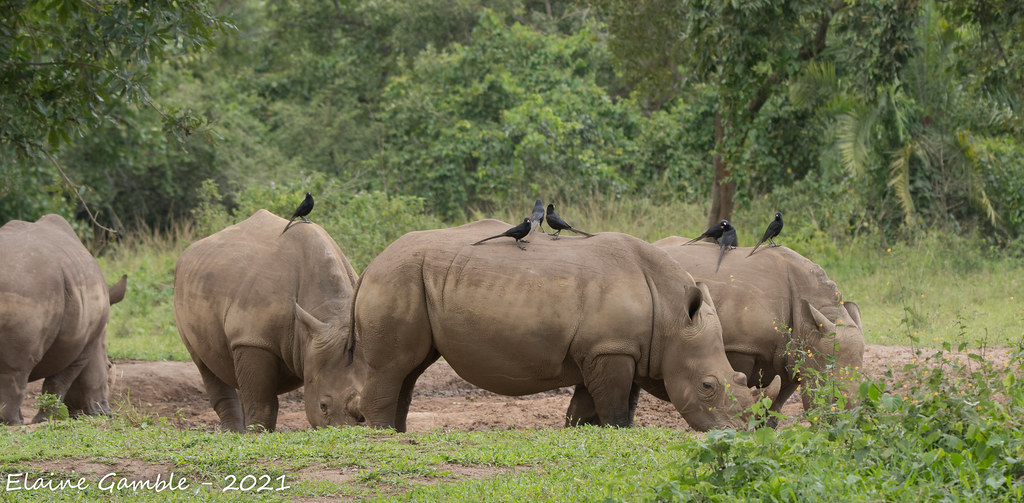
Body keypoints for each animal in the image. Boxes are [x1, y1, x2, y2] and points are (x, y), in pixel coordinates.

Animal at [0, 214, 127, 425]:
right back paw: (13, 423)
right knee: (16, 370)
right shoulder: (83, 346)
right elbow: (59, 382)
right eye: (108, 366)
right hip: (28, 286)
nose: (106, 413)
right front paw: (45, 419)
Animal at [174, 209, 364, 432]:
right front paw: (257, 433)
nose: (347, 429)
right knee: (204, 364)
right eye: (323, 406)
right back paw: (234, 432)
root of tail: (186, 253)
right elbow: (262, 401)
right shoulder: (253, 339)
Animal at [353, 220, 780, 432]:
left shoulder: (610, 348)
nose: (742, 433)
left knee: (410, 368)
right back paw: (383, 435)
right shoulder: (611, 349)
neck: (673, 318)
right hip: (396, 278)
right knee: (393, 366)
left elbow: (590, 405)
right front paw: (616, 432)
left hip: (411, 278)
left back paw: (398, 432)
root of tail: (371, 264)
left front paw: (578, 432)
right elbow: (615, 406)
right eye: (708, 386)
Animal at [566, 237, 865, 426]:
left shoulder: (795, 357)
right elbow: (738, 385)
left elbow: (775, 404)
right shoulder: (741, 346)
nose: (844, 428)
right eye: (832, 395)